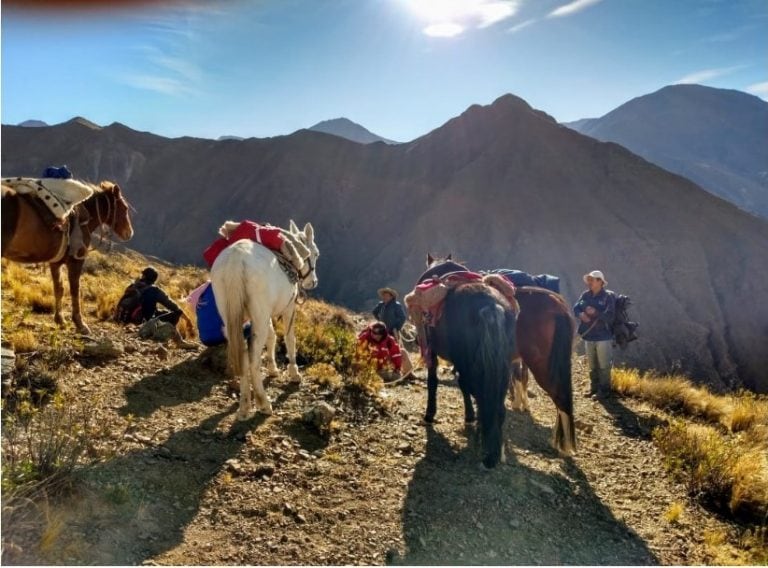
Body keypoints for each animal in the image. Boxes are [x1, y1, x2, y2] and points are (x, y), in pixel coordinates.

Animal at [2, 181, 134, 332]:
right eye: (124, 208)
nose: (129, 233)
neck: (84, 219)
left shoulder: (55, 262)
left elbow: (59, 288)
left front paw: (60, 319)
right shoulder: (76, 261)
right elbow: (75, 290)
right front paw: (80, 323)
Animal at [210, 220, 318, 420]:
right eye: (315, 253)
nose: (312, 282)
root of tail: (236, 260)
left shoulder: (266, 314)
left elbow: (272, 336)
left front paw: (273, 369)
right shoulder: (289, 308)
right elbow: (290, 338)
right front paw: (294, 373)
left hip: (231, 315)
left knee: (242, 354)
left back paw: (244, 405)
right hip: (258, 317)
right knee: (252, 358)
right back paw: (263, 403)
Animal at [414, 255, 516, 468]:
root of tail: (490, 306)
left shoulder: (435, 352)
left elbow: (434, 381)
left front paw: (430, 414)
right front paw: (468, 417)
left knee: (482, 400)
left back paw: (486, 451)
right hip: (503, 368)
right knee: (498, 407)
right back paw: (493, 451)